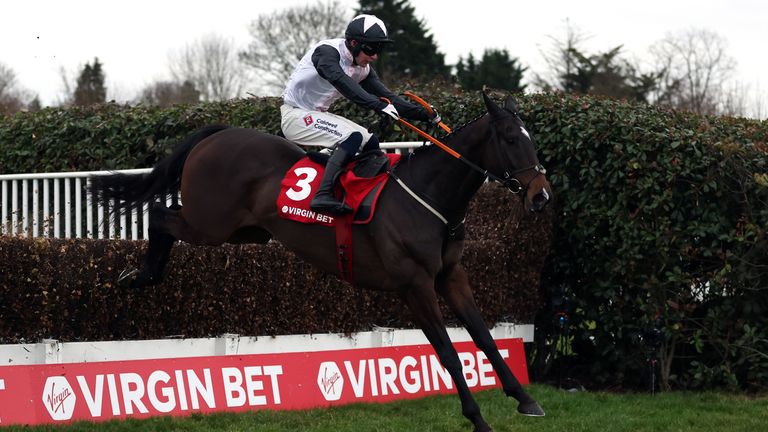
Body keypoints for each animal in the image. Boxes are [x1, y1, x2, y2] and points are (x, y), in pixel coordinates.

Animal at [90, 92, 552, 432]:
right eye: (511, 139)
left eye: (530, 137)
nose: (541, 196)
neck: (427, 194)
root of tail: (217, 134)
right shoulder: (415, 285)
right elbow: (449, 353)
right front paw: (478, 419)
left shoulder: (451, 275)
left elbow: (485, 337)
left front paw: (525, 398)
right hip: (210, 223)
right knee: (159, 215)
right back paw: (139, 275)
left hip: (245, 231)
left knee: (166, 217)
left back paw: (141, 275)